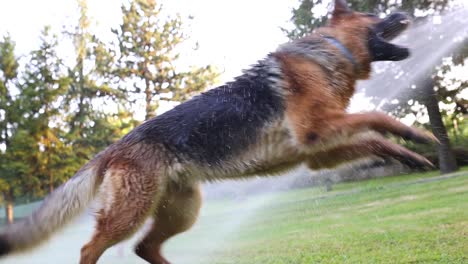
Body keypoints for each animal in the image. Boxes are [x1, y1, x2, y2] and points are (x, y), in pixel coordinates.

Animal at [0, 1, 438, 262]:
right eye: (375, 16)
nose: (405, 12)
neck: (330, 53)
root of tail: (115, 147)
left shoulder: (319, 152)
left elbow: (374, 139)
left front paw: (413, 155)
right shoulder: (319, 131)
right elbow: (378, 117)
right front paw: (422, 136)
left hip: (183, 210)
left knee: (144, 246)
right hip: (130, 213)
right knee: (92, 247)